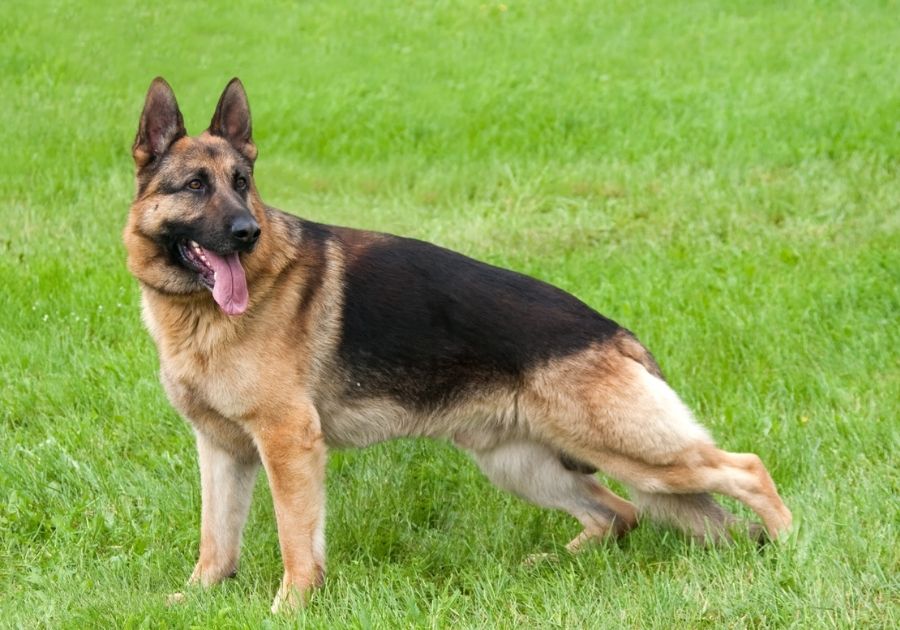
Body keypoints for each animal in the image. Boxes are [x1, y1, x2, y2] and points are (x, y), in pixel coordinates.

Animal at [123, 78, 792, 612]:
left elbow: (296, 538)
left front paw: (290, 606)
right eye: (195, 186)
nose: (247, 232)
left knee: (747, 469)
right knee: (620, 513)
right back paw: (555, 562)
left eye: (241, 183)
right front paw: (198, 596)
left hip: (631, 449)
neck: (201, 313)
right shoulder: (221, 449)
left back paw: (788, 548)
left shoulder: (288, 443)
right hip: (524, 466)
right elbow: (216, 539)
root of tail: (615, 333)